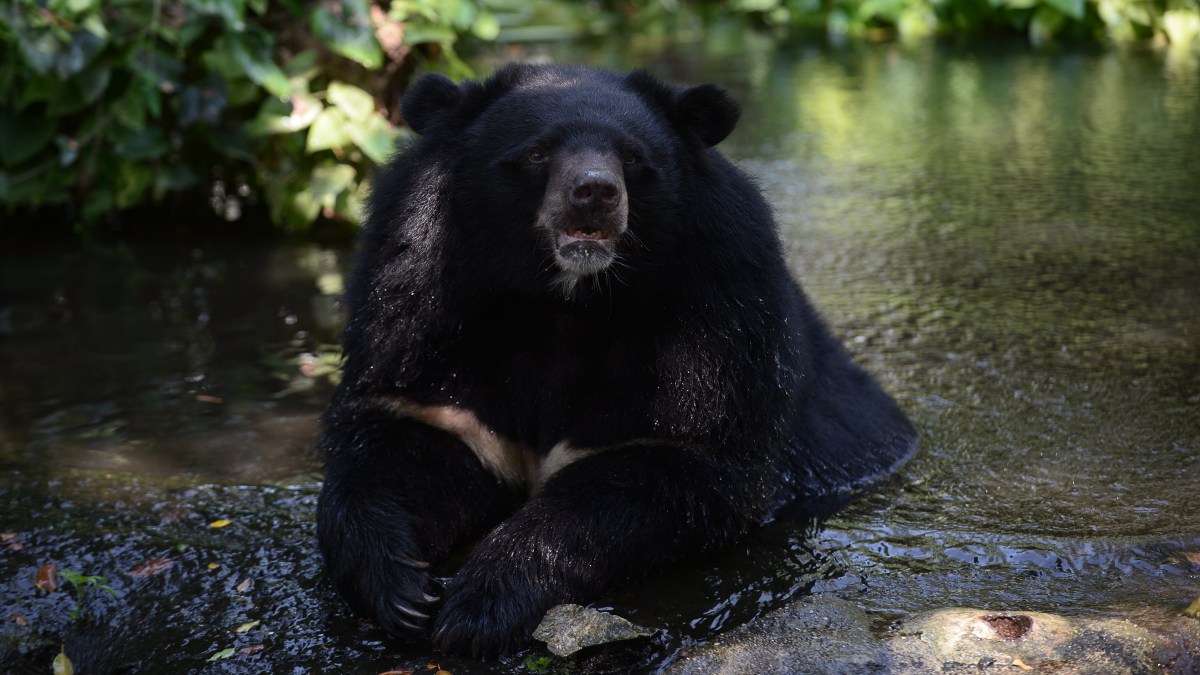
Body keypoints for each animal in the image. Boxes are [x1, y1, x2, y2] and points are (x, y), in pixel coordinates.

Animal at [316, 63, 918, 658]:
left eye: (631, 157)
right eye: (538, 153)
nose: (595, 192)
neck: (561, 303)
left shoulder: (715, 319)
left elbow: (672, 470)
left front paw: (481, 606)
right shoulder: (426, 311)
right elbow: (406, 441)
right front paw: (399, 590)